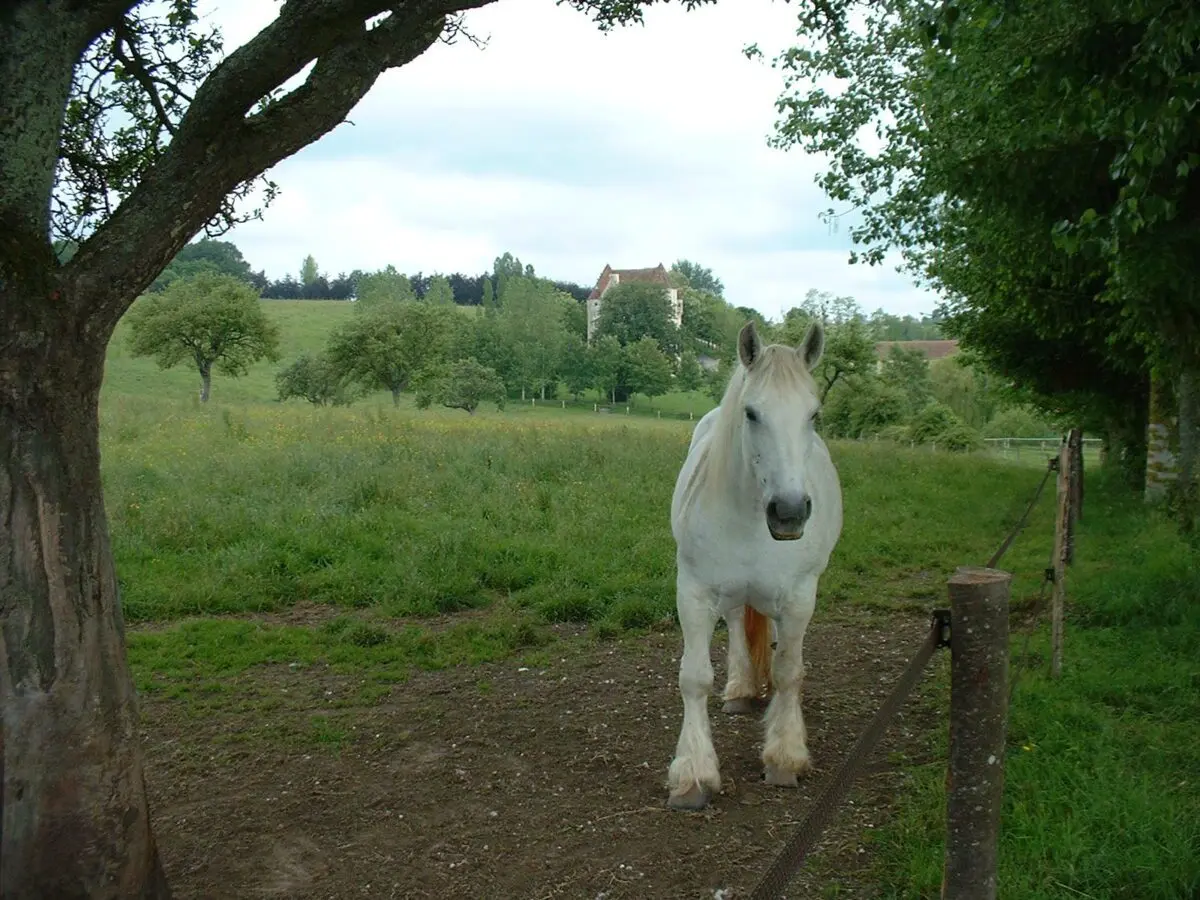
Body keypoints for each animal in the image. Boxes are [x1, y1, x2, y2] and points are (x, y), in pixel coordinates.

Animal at [667, 319, 844, 811]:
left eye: (813, 414)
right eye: (751, 413)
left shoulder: (800, 596)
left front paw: (784, 756)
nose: (789, 511)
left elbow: (788, 671)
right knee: (735, 629)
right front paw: (693, 774)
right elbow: (694, 677)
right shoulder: (694, 591)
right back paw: (741, 689)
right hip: (729, 595)